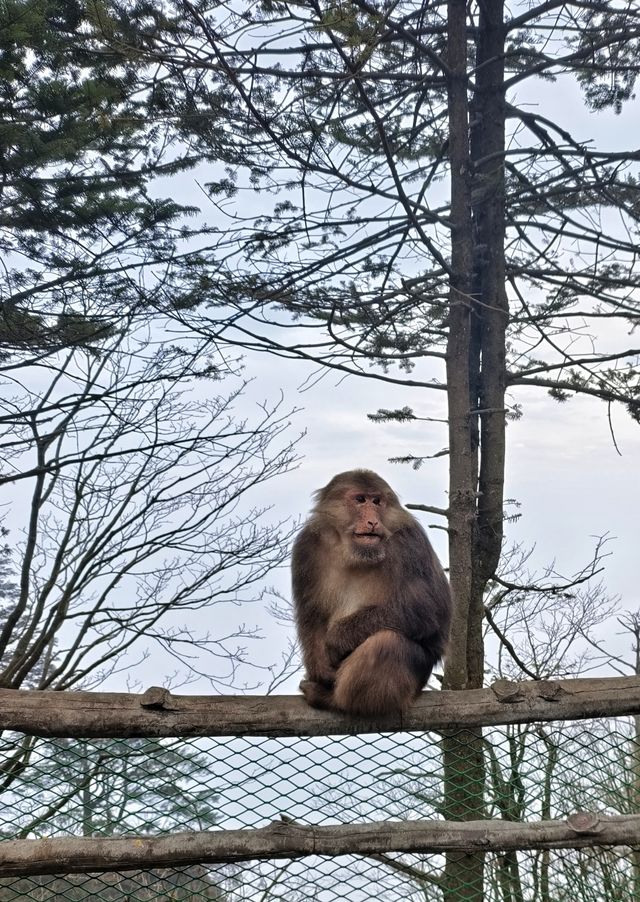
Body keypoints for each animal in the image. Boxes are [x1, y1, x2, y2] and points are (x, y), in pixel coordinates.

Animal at [292, 470, 452, 716]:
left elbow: (425, 609)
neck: (353, 552)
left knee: (388, 643)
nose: (373, 520)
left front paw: (337, 638)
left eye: (376, 501)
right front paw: (320, 667)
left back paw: (333, 701)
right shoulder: (306, 547)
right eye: (360, 500)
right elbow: (311, 614)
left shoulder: (411, 544)